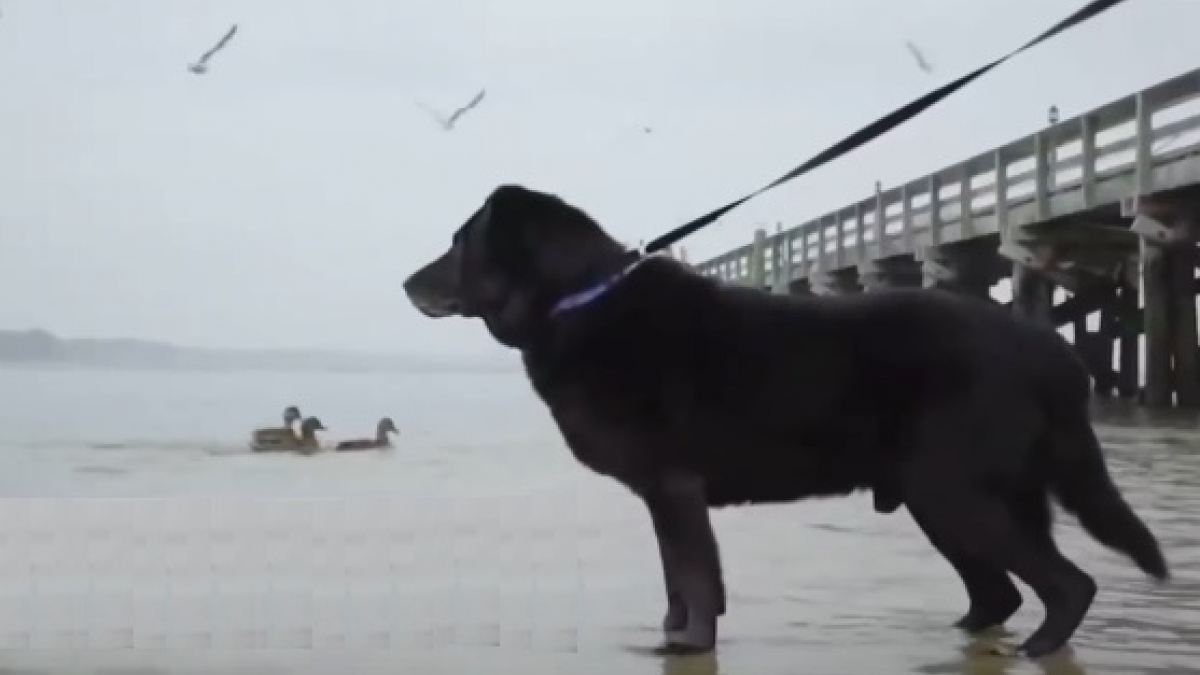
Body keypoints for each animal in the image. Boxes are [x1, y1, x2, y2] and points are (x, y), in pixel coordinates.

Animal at [400, 182, 1161, 658]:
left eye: (459, 242)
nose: (406, 283)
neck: (580, 297)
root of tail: (1054, 353)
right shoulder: (661, 496)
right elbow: (676, 583)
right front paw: (670, 637)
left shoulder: (676, 488)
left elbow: (696, 580)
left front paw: (689, 647)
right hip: (948, 499)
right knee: (999, 593)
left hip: (956, 493)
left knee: (1067, 585)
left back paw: (1036, 650)